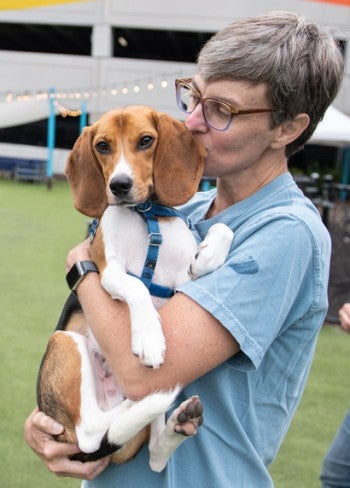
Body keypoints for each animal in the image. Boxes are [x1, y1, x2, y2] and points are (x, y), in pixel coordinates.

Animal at [36, 105, 232, 470]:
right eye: (102, 146)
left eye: (145, 141)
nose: (119, 185)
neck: (146, 215)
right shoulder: (109, 271)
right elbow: (136, 287)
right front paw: (149, 338)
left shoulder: (185, 282)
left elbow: (223, 230)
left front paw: (208, 254)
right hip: (65, 340)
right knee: (91, 433)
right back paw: (138, 404)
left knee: (154, 457)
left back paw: (175, 422)